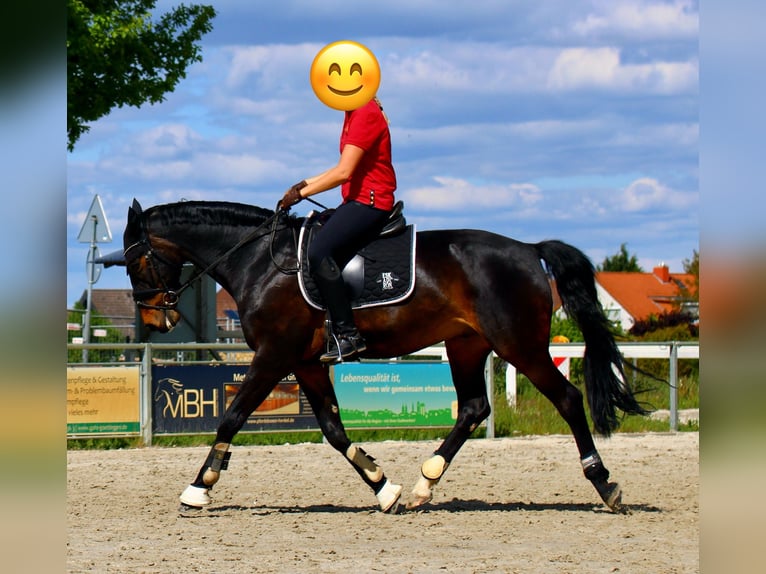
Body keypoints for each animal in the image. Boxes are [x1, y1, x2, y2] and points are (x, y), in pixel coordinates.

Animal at [124, 199, 648, 516]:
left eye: (133, 260)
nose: (155, 321)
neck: (258, 261)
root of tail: (527, 249)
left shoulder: (275, 356)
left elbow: (231, 417)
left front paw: (198, 488)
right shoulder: (306, 362)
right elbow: (334, 431)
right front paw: (384, 486)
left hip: (520, 346)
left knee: (568, 399)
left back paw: (606, 485)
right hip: (466, 344)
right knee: (474, 408)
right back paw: (424, 484)